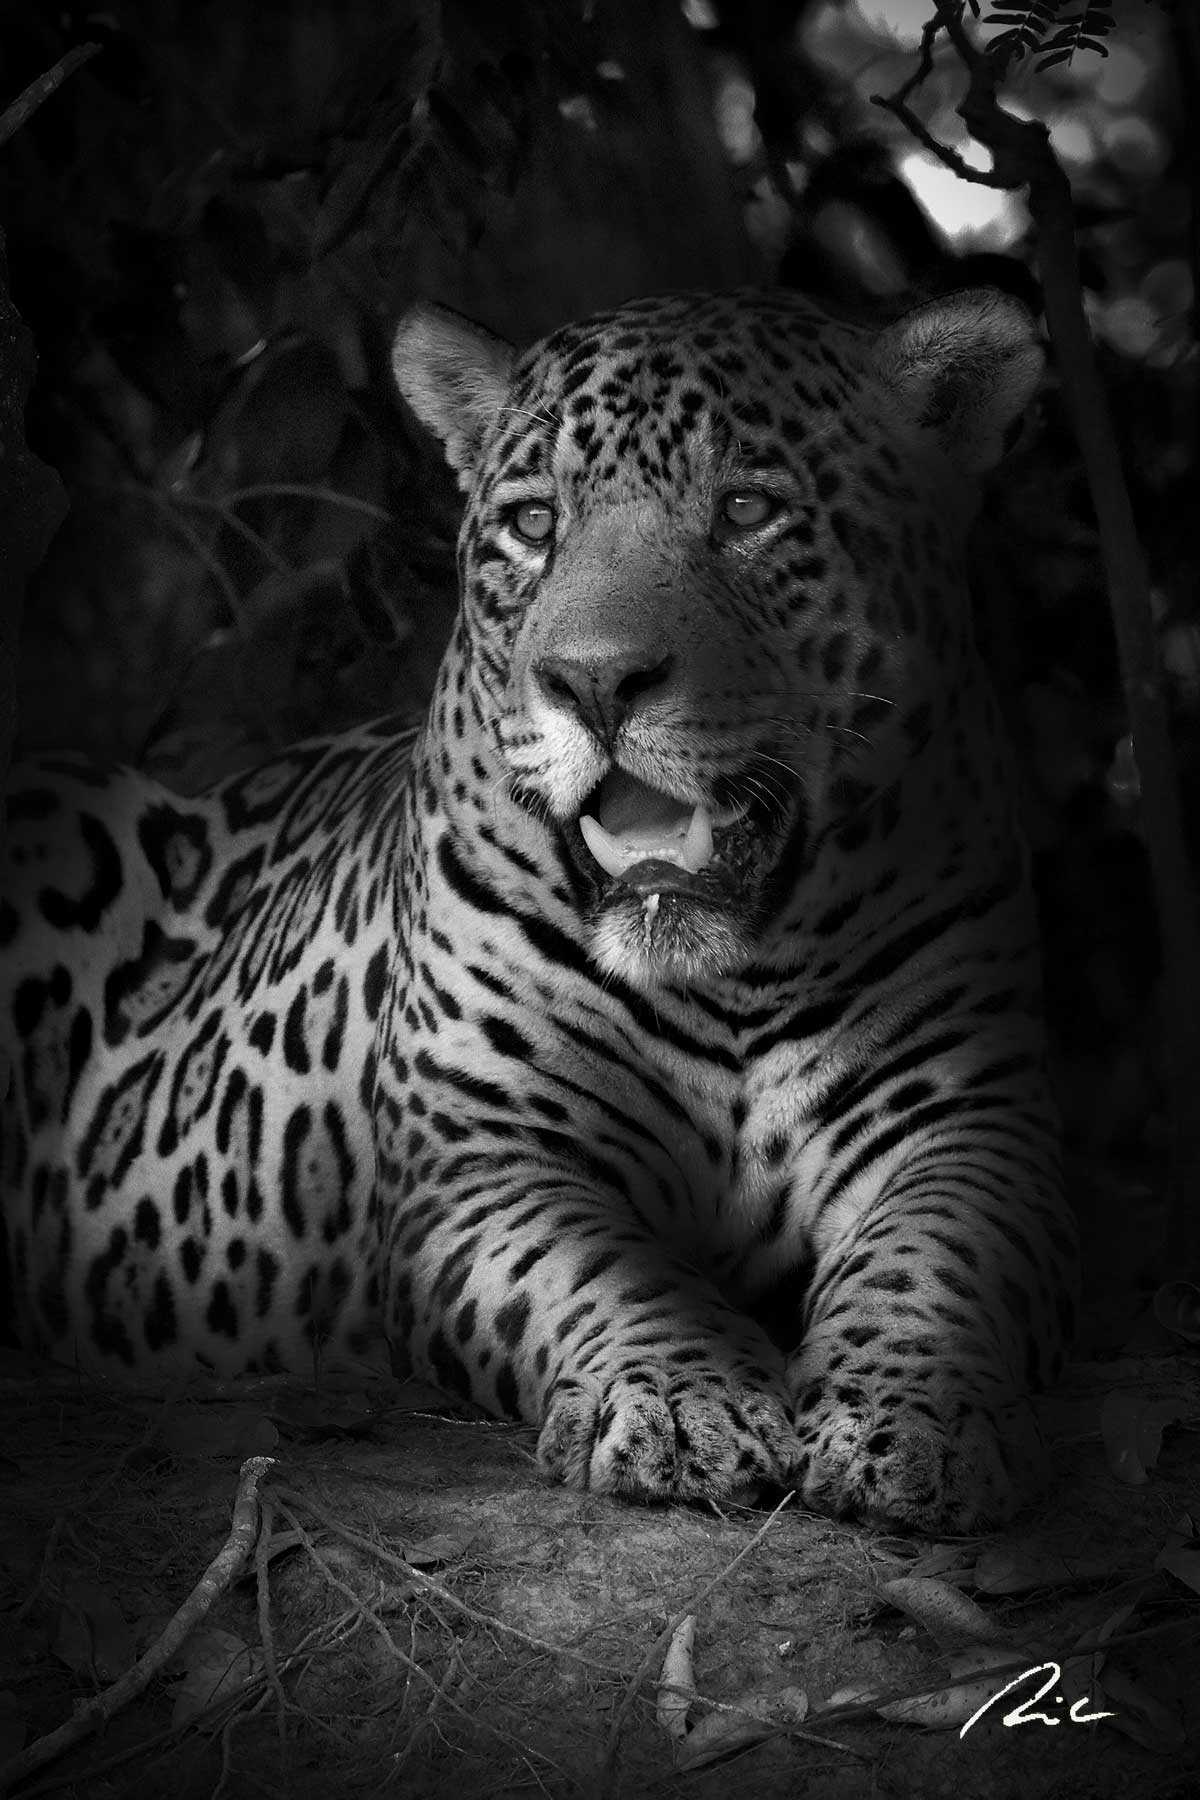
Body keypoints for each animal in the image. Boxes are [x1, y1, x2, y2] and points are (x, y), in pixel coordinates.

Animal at [0, 286, 1079, 1531]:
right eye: (530, 522)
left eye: (748, 508)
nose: (594, 682)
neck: (732, 972)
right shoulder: (485, 1164)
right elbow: (598, 1278)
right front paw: (681, 1405)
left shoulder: (969, 1122)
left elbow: (930, 1268)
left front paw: (915, 1421)